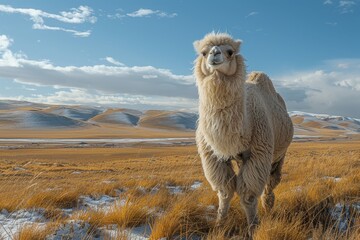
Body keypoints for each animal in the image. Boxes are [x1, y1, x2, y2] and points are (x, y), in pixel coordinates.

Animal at [194, 32, 292, 236]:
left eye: (230, 52)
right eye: (203, 52)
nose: (214, 54)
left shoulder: (258, 153)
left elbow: (248, 196)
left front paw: (253, 227)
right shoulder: (213, 156)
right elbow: (224, 192)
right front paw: (219, 225)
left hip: (279, 154)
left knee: (272, 181)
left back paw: (268, 207)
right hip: (241, 158)